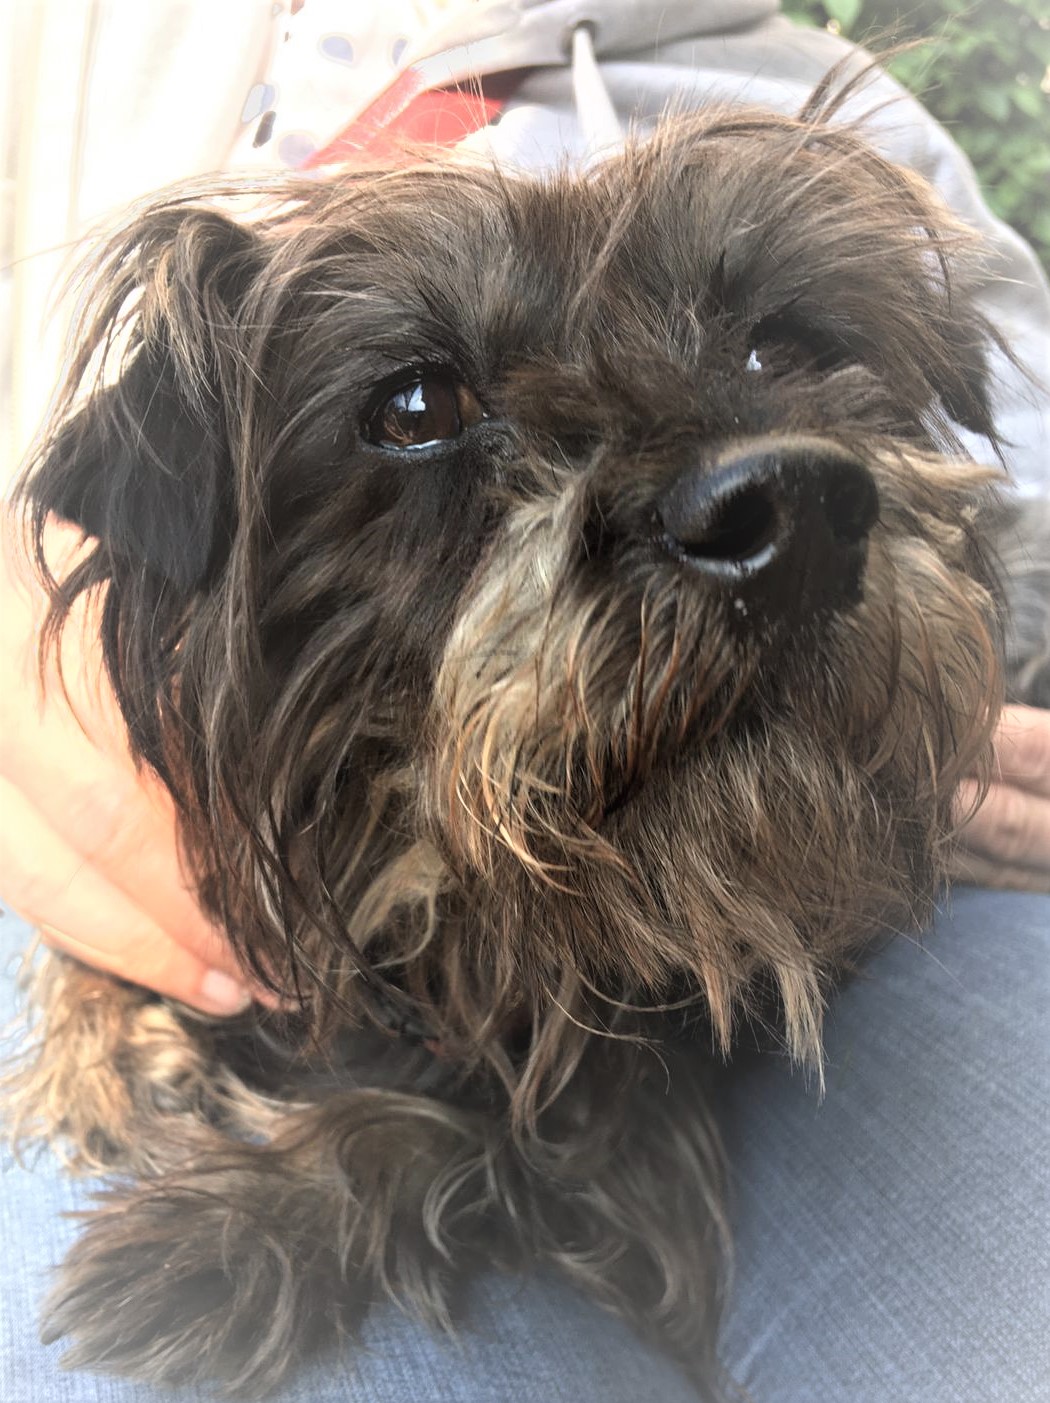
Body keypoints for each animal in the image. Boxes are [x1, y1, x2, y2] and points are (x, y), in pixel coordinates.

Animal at [6, 78, 1049, 1398]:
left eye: (783, 346)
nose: (796, 510)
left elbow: (467, 1137)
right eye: (415, 407)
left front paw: (234, 1223)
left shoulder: (638, 1138)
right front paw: (100, 1049)